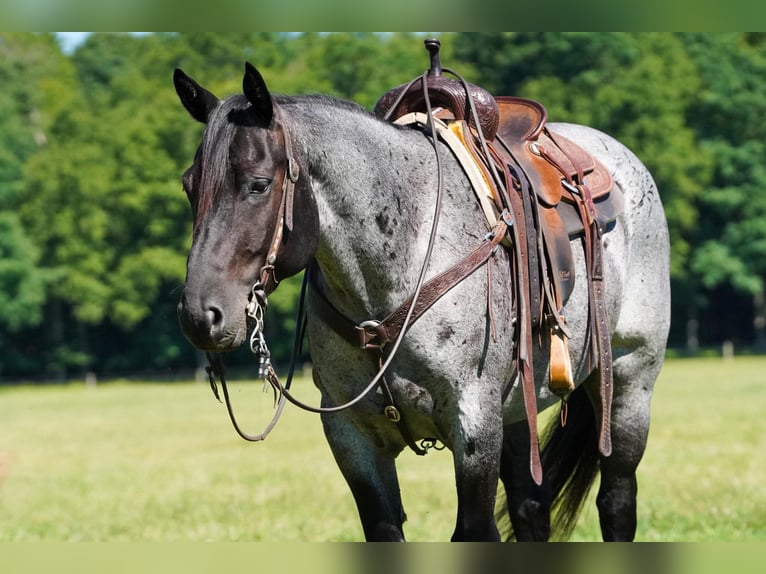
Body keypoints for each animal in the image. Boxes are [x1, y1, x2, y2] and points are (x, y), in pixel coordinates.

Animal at [173, 60, 670, 541]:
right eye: (188, 185)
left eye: (258, 185)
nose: (200, 315)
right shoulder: (353, 439)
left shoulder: (474, 427)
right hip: (516, 413)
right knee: (531, 508)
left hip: (629, 383)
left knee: (617, 501)